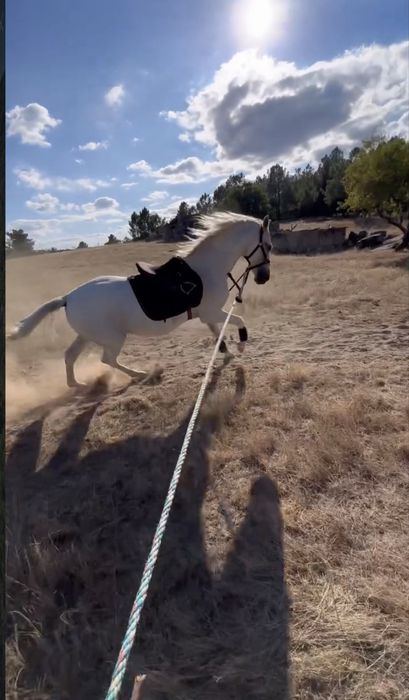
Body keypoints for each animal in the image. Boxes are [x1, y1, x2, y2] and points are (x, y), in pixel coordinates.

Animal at [8, 212, 273, 387]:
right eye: (268, 245)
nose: (264, 278)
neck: (206, 270)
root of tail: (68, 298)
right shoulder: (212, 311)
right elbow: (238, 321)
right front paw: (241, 346)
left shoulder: (206, 315)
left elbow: (218, 334)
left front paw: (226, 353)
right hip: (112, 338)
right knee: (107, 359)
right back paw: (140, 374)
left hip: (86, 335)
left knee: (70, 356)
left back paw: (77, 385)